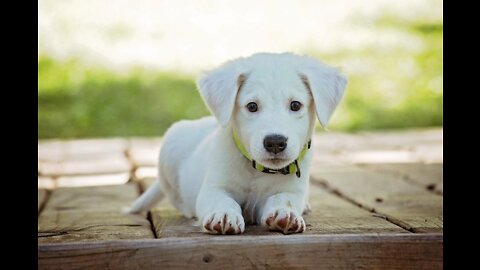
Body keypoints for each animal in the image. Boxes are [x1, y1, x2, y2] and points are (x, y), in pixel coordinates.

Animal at [127, 52, 344, 234]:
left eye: (295, 105)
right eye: (252, 106)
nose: (275, 142)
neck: (256, 170)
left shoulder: (291, 190)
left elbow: (283, 199)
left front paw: (285, 213)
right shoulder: (214, 187)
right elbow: (223, 200)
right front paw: (223, 215)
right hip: (170, 148)